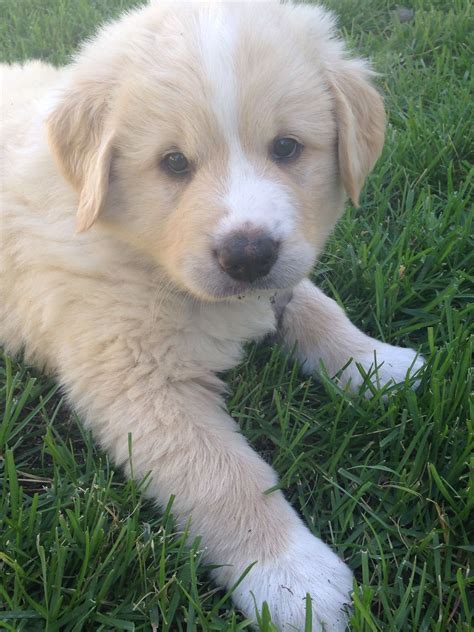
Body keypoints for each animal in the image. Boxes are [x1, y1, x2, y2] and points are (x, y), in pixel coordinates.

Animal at [0, 2, 422, 628]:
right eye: (174, 163)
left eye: (287, 148)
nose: (249, 256)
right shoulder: (137, 380)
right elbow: (222, 475)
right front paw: (292, 578)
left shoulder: (282, 278)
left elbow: (315, 305)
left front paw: (378, 365)